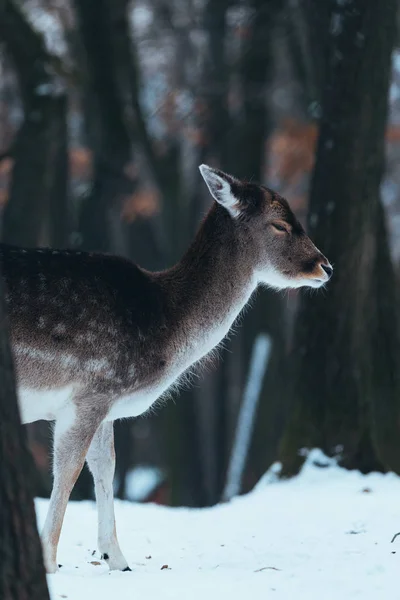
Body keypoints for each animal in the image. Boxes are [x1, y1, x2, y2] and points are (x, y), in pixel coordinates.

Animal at [1, 165, 332, 572]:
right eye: (280, 225)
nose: (325, 266)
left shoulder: (105, 401)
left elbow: (105, 466)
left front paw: (117, 559)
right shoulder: (90, 391)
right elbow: (68, 470)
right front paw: (49, 562)